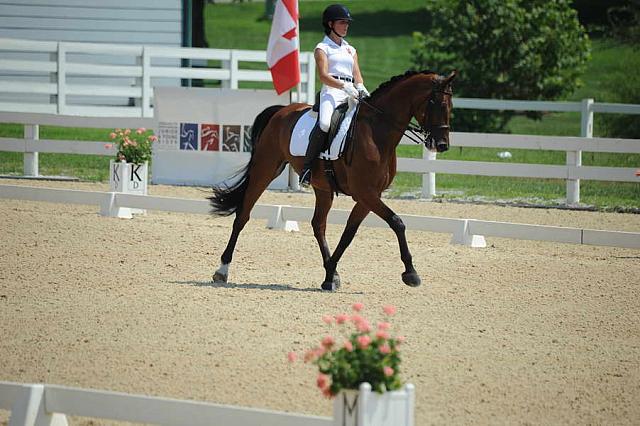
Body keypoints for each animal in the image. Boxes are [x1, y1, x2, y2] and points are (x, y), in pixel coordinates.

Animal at [209, 70, 456, 292]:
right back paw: (222, 270)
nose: (442, 145)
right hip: (265, 169)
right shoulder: (366, 193)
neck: (377, 133)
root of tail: (283, 110)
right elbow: (397, 222)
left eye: (450, 106)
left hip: (322, 187)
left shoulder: (369, 196)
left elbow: (349, 233)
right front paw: (411, 273)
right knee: (242, 216)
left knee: (318, 225)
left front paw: (330, 275)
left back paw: (331, 271)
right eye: (435, 103)